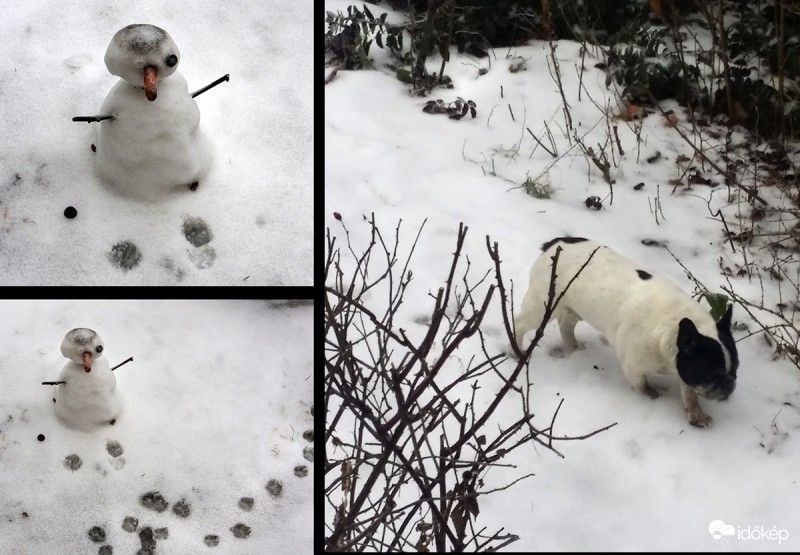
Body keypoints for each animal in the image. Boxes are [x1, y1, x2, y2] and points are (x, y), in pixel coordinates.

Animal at [516, 237, 740, 428]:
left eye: (735, 369)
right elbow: (643, 387)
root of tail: (554, 244)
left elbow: (689, 394)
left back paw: (573, 349)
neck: (673, 328)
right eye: (712, 373)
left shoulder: (684, 367)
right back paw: (516, 352)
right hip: (544, 305)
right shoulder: (633, 367)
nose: (729, 384)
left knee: (566, 324)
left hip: (573, 307)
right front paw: (652, 397)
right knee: (520, 323)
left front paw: (696, 413)